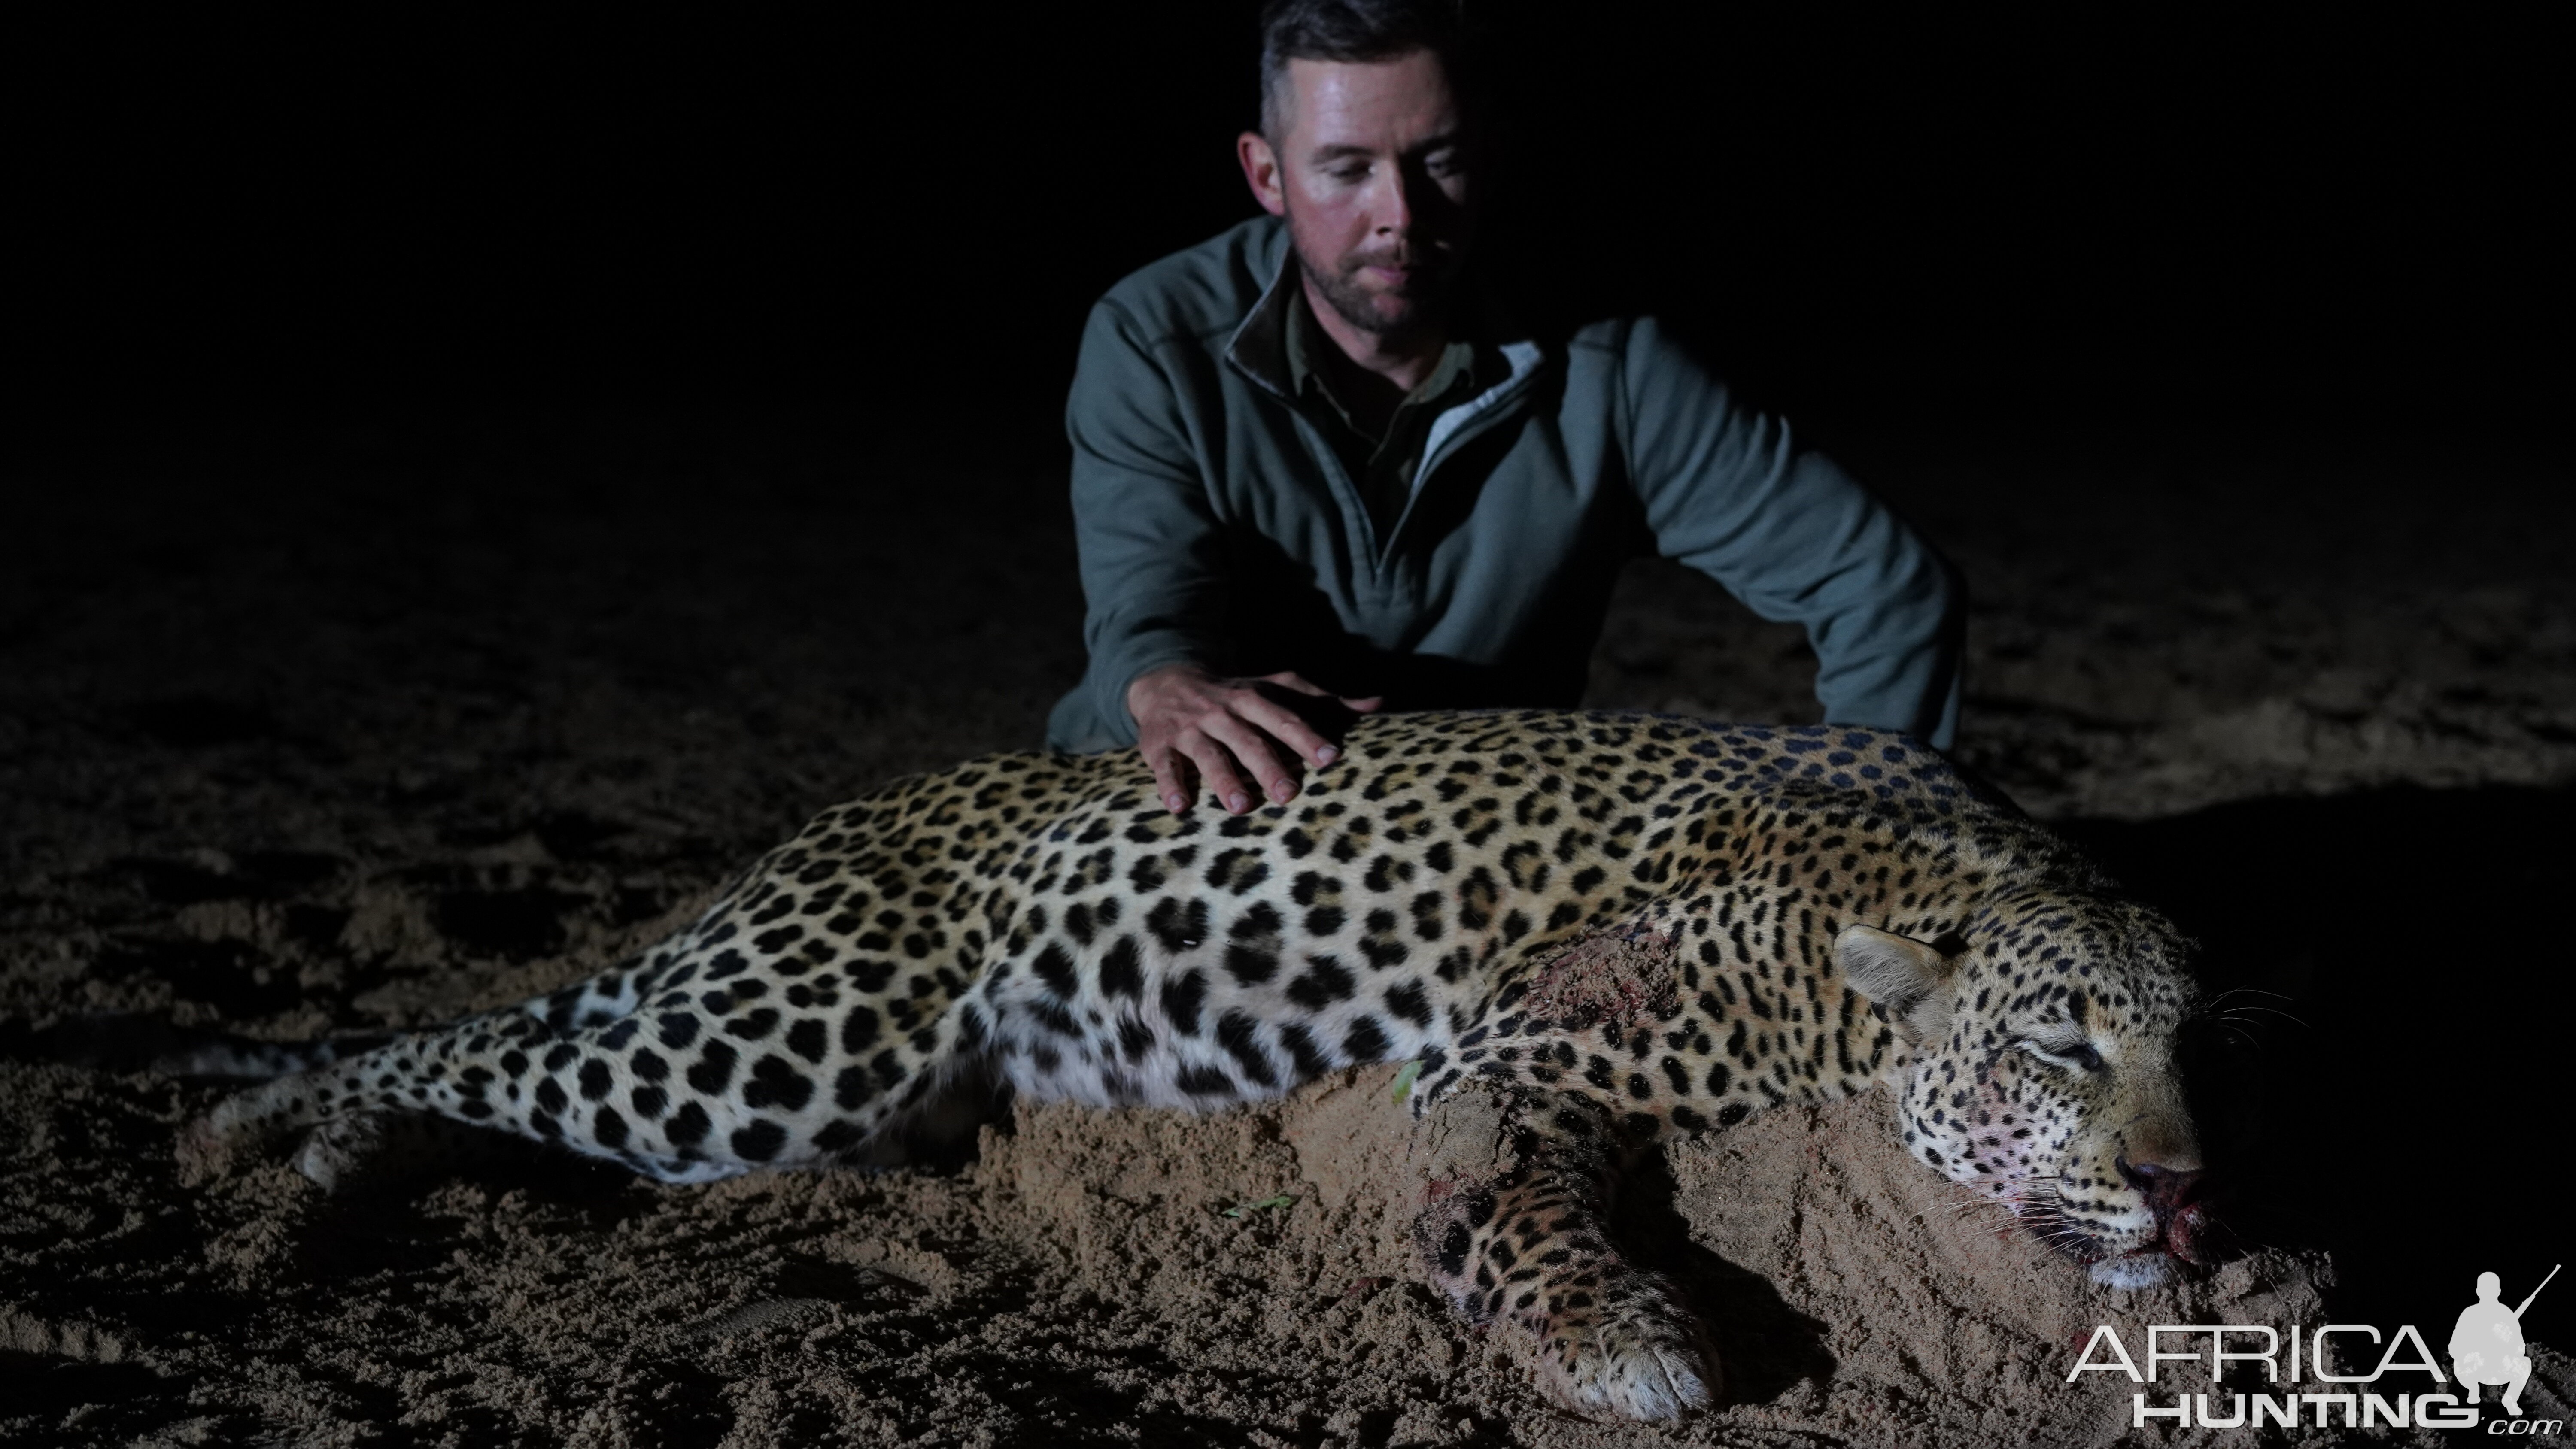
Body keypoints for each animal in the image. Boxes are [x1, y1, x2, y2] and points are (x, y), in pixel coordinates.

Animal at [191, 710, 2226, 1421]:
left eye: (2192, 1047)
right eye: (2059, 1040)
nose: (2177, 1179)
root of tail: (830, 825)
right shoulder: (1500, 1057)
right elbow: (1516, 1208)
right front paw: (1632, 1345)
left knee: (538, 1031)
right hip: (782, 1042)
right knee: (483, 1036)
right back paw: (281, 1128)